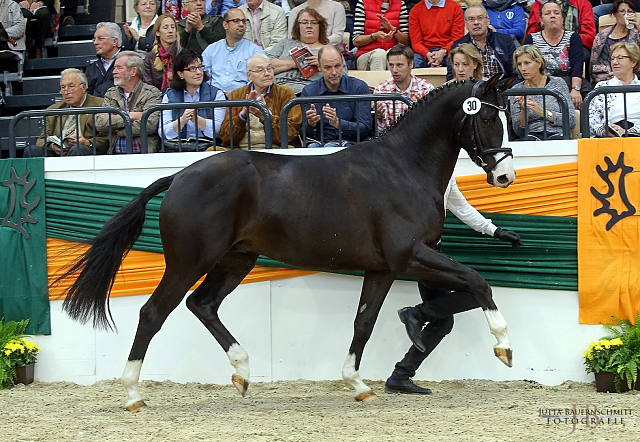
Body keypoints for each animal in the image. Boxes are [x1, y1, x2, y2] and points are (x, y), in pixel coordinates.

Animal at [58, 76, 520, 410]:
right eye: (486, 120)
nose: (504, 177)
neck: (402, 168)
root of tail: (180, 177)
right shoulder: (410, 257)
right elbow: (477, 282)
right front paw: (504, 347)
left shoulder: (383, 268)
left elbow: (364, 323)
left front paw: (358, 384)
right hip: (189, 262)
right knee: (154, 313)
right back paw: (134, 395)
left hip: (236, 260)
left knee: (202, 305)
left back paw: (242, 372)